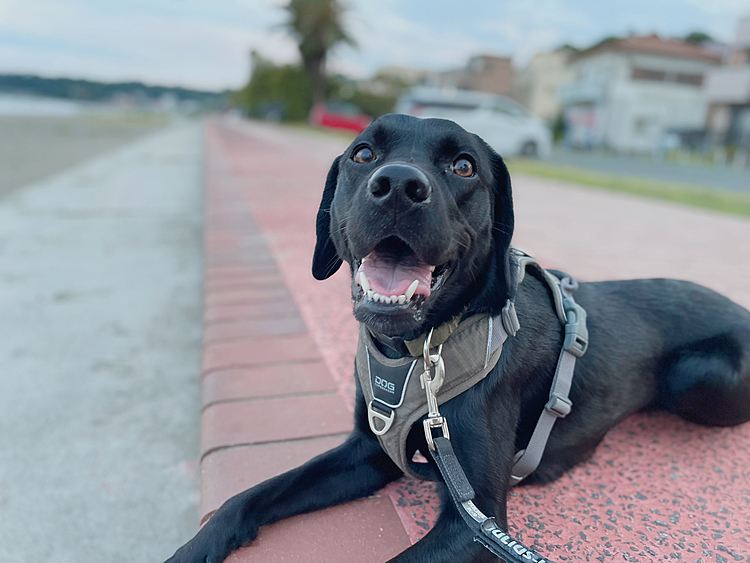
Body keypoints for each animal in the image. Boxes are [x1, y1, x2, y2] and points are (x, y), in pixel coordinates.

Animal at [167, 115, 750, 563]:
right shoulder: (368, 453)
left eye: (464, 166)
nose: (398, 185)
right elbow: (248, 496)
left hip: (700, 376)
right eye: (362, 153)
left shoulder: (478, 522)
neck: (417, 352)